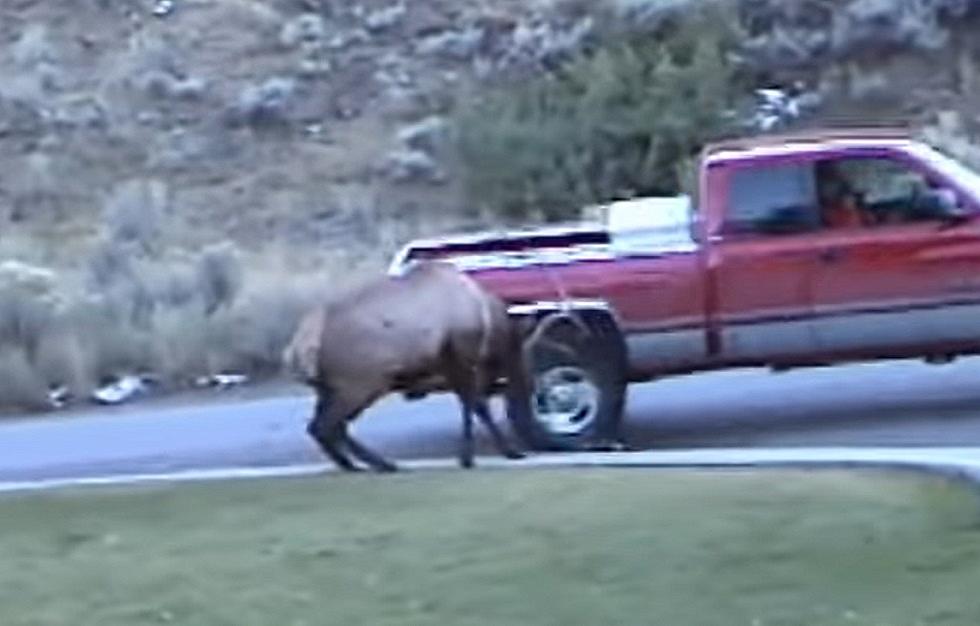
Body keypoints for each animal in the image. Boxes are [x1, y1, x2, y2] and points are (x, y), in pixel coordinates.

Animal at [280, 260, 532, 470]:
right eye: (517, 352)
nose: (523, 386)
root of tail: (298, 348)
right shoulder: (460, 358)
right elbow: (477, 405)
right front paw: (497, 453)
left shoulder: (449, 365)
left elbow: (470, 405)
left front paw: (471, 456)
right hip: (360, 384)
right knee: (326, 425)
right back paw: (375, 464)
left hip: (332, 387)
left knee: (325, 426)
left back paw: (364, 464)